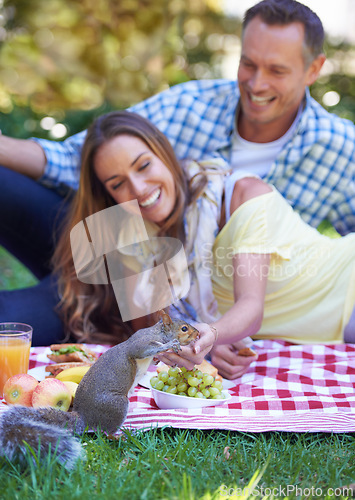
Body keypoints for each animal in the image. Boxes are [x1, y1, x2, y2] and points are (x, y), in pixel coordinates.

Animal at [0, 310, 200, 470]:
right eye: (184, 328)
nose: (198, 335)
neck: (157, 331)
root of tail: (84, 417)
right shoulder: (141, 343)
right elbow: (142, 350)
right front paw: (169, 345)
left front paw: (160, 359)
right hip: (117, 404)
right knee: (105, 433)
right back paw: (120, 437)